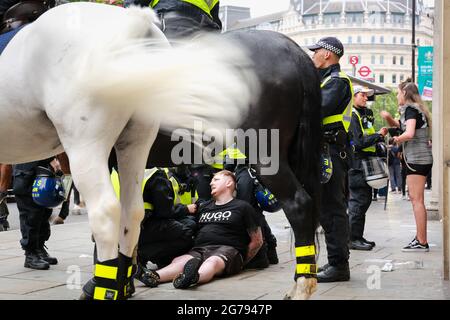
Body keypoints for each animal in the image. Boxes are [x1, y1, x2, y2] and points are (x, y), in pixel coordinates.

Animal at [0, 1, 258, 298]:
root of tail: (134, 24)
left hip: (85, 145)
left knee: (105, 213)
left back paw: (103, 286)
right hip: (135, 142)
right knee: (131, 211)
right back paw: (121, 282)